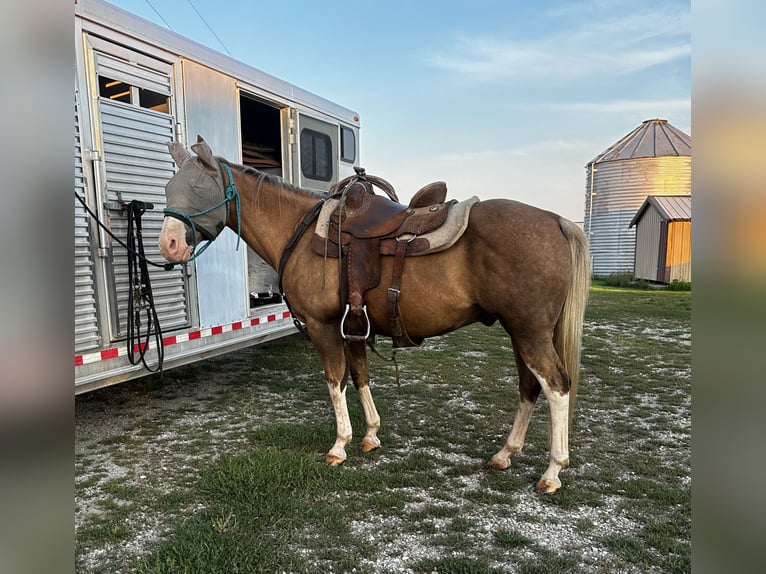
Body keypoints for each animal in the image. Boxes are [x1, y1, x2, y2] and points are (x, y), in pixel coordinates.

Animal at [159, 136, 592, 496]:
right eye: (167, 189)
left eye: (198, 188)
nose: (169, 245)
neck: (300, 232)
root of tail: (556, 220)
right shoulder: (352, 326)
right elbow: (360, 376)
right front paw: (370, 436)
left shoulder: (323, 327)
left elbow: (335, 380)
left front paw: (339, 445)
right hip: (521, 332)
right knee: (529, 387)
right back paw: (506, 454)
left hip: (530, 333)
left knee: (556, 386)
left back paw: (552, 471)